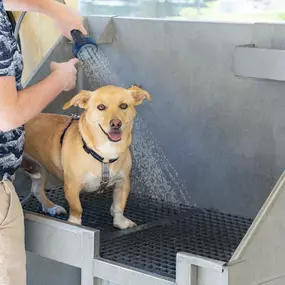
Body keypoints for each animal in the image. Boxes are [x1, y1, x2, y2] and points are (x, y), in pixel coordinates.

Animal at [20, 84, 151, 229]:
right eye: (101, 107)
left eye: (123, 106)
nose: (116, 123)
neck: (105, 154)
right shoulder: (71, 186)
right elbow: (77, 209)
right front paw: (75, 224)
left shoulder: (123, 181)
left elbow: (119, 205)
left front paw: (120, 222)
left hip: (41, 170)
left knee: (36, 189)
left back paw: (51, 207)